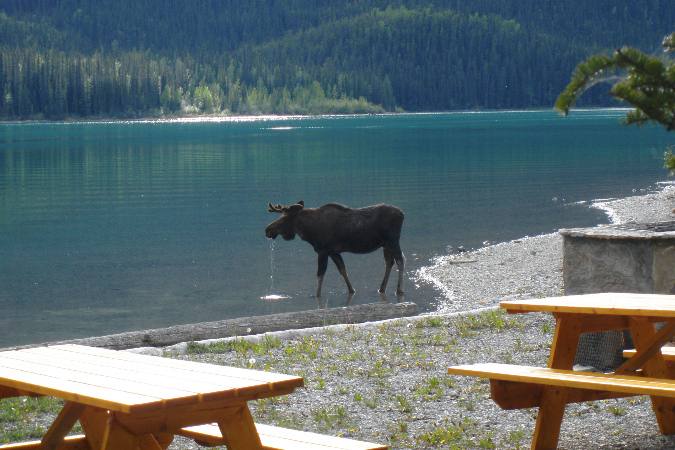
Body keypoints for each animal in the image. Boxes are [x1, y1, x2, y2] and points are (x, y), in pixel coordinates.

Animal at [266, 202, 404, 298]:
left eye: (284, 218)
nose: (267, 230)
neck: (309, 231)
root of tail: (402, 214)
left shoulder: (323, 251)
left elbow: (320, 274)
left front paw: (316, 295)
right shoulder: (334, 252)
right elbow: (343, 270)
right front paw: (352, 290)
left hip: (393, 241)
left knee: (400, 261)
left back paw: (399, 290)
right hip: (385, 244)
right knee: (389, 262)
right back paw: (382, 288)